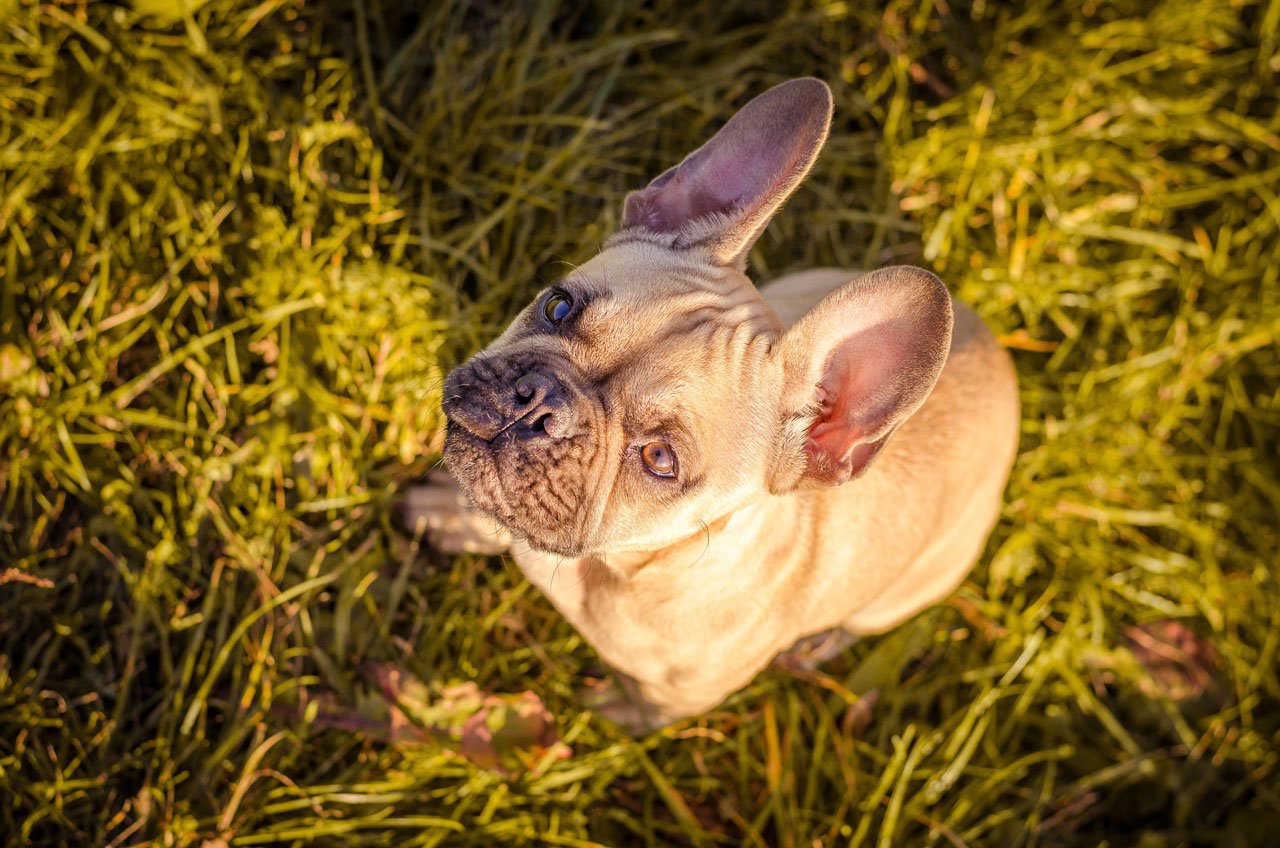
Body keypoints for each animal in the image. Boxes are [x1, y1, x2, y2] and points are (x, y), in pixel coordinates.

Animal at [404, 76, 1024, 732]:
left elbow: (640, 713)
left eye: (659, 459)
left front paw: (601, 716)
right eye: (557, 306)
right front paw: (449, 513)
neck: (617, 565)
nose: (536, 405)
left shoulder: (675, 698)